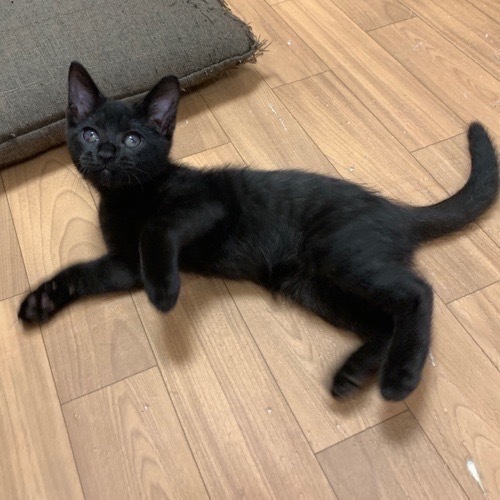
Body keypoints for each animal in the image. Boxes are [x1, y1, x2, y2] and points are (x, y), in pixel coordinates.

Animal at [18, 61, 498, 402]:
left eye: (133, 139)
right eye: (89, 132)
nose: (104, 152)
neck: (126, 199)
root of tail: (394, 210)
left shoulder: (207, 204)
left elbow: (158, 227)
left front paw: (165, 292)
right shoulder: (125, 264)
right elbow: (83, 272)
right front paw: (42, 299)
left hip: (340, 255)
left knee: (417, 293)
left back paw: (400, 377)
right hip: (314, 287)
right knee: (382, 322)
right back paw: (353, 374)